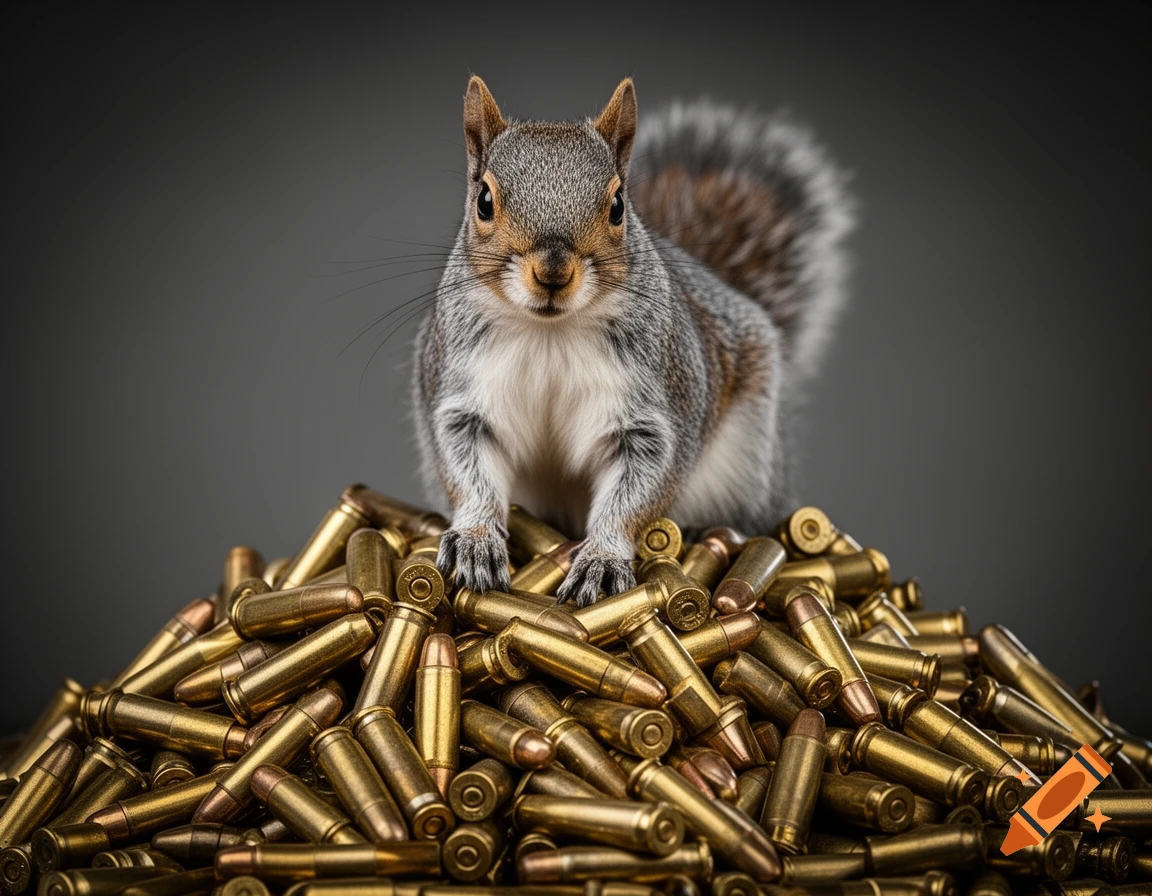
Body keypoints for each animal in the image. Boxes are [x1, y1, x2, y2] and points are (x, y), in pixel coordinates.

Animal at [412, 76, 854, 607]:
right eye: (483, 200)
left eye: (618, 206)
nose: (553, 272)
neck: (550, 332)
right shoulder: (462, 396)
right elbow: (467, 469)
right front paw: (476, 540)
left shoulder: (654, 413)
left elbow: (637, 491)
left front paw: (602, 559)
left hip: (747, 457)